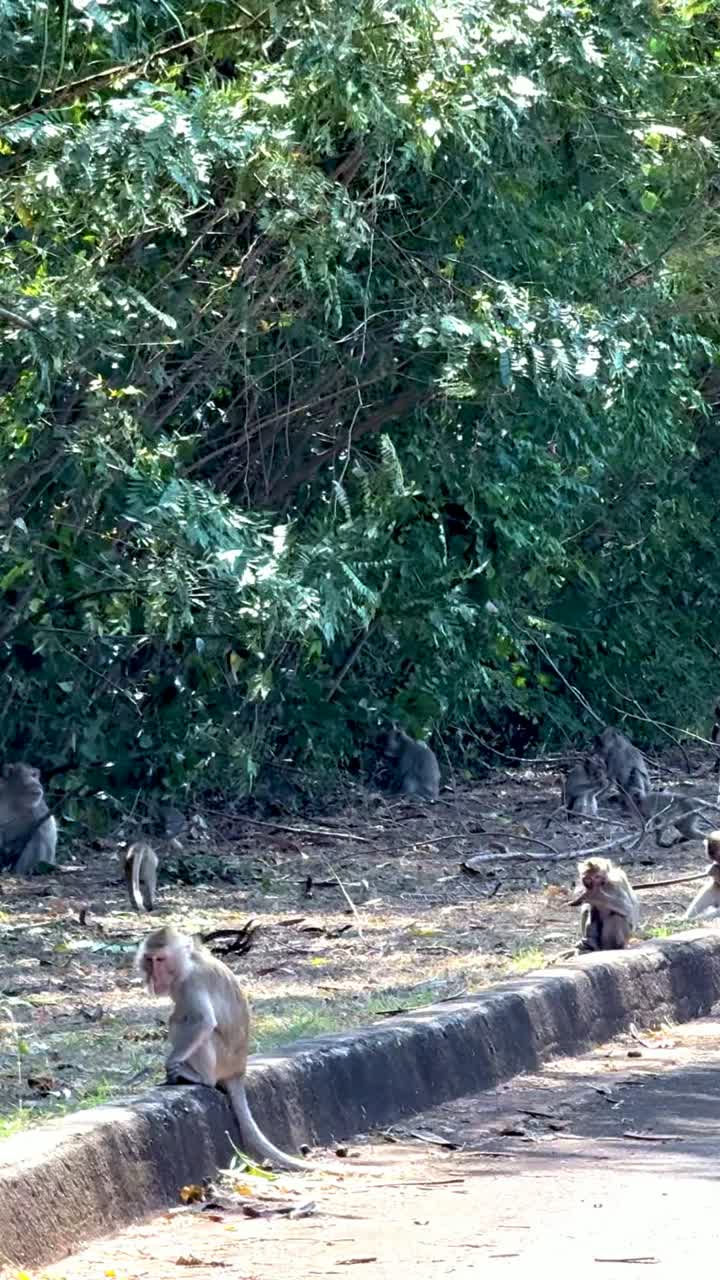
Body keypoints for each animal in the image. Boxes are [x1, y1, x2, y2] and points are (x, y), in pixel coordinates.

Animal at [136, 926, 309, 1171]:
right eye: (149, 959)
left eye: (160, 959)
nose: (153, 976)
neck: (189, 962)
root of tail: (239, 1070)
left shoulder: (192, 983)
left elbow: (203, 1021)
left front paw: (171, 1065)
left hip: (222, 1059)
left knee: (182, 1020)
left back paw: (200, 1078)